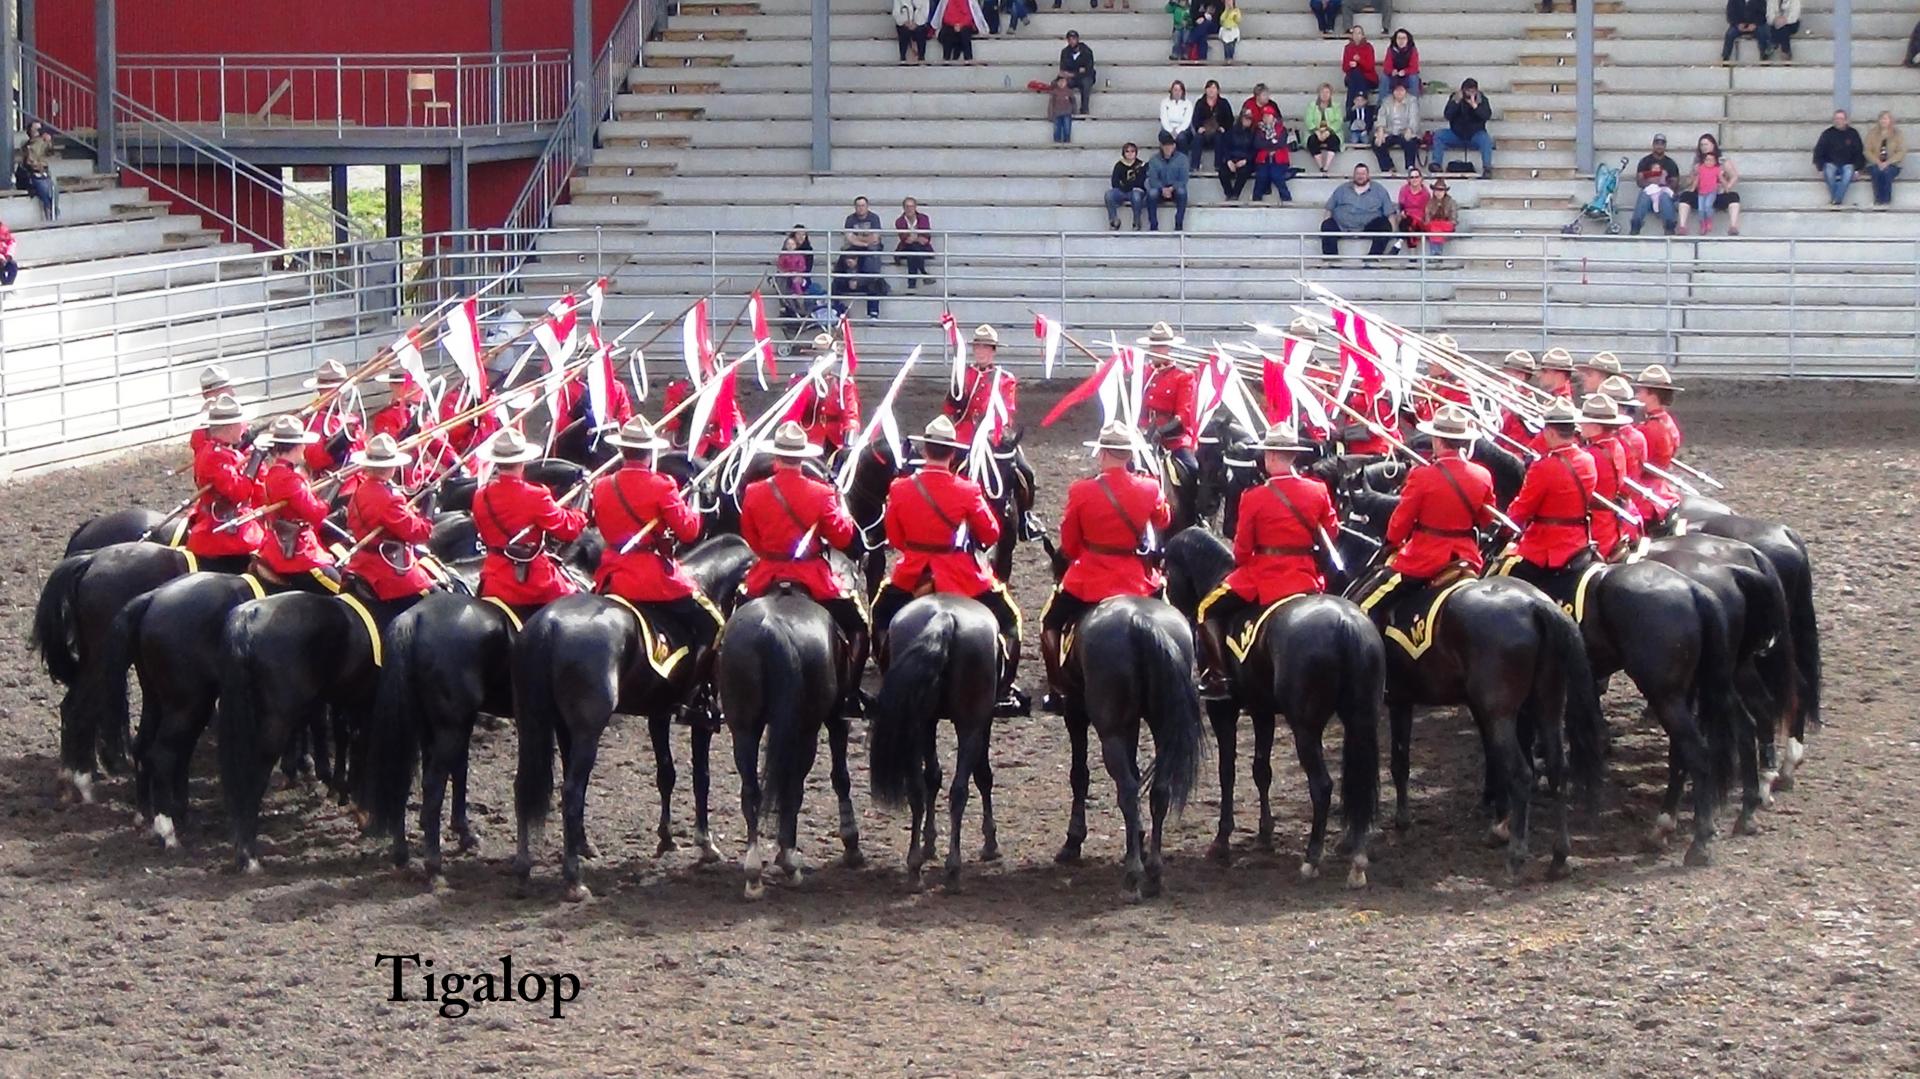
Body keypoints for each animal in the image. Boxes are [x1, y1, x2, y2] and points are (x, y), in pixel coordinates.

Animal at [32, 541, 194, 794]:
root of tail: (91, 560)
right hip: (101, 657)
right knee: (77, 707)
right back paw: (81, 778)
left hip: (94, 658)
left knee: (74, 706)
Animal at [510, 533, 756, 894]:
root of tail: (548, 625)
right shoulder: (701, 717)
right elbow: (702, 777)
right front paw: (705, 843)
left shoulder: (658, 713)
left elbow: (666, 774)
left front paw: (667, 839)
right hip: (587, 730)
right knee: (571, 792)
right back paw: (574, 878)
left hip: (537, 724)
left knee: (525, 785)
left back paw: (526, 862)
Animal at [718, 583, 860, 894]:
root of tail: (774, 629)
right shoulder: (835, 718)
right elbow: (840, 776)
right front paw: (851, 844)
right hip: (806, 730)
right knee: (794, 787)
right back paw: (791, 864)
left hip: (744, 729)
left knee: (752, 791)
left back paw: (754, 873)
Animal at [871, 591, 1006, 887]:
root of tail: (945, 616)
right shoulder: (983, 721)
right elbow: (983, 776)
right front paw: (990, 842)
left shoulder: (929, 723)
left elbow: (932, 778)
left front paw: (928, 843)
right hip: (969, 724)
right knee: (959, 790)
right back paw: (953, 867)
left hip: (918, 723)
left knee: (918, 789)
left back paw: (914, 866)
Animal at [1152, 529, 1382, 883]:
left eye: (1166, 570)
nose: (1167, 604)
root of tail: (1346, 623)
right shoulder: (1261, 711)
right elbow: (1261, 770)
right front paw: (1264, 833)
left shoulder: (1224, 711)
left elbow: (1228, 771)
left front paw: (1222, 840)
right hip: (1361, 720)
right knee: (1360, 782)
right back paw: (1357, 858)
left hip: (1306, 728)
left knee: (1323, 786)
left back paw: (1312, 858)